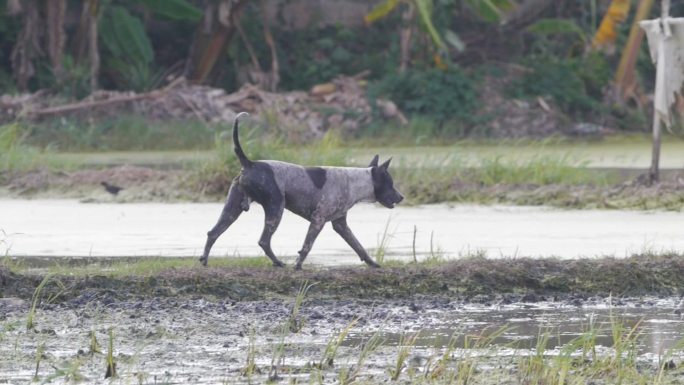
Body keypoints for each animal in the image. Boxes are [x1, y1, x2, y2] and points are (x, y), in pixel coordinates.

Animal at [198, 111, 404, 268]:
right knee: (264, 241)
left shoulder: (341, 225)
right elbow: (306, 246)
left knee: (213, 233)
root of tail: (249, 163)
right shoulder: (318, 221)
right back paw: (278, 263)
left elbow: (358, 246)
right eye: (391, 183)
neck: (353, 181)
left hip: (232, 209)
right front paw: (297, 265)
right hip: (275, 209)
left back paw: (205, 260)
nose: (401, 197)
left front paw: (372, 263)